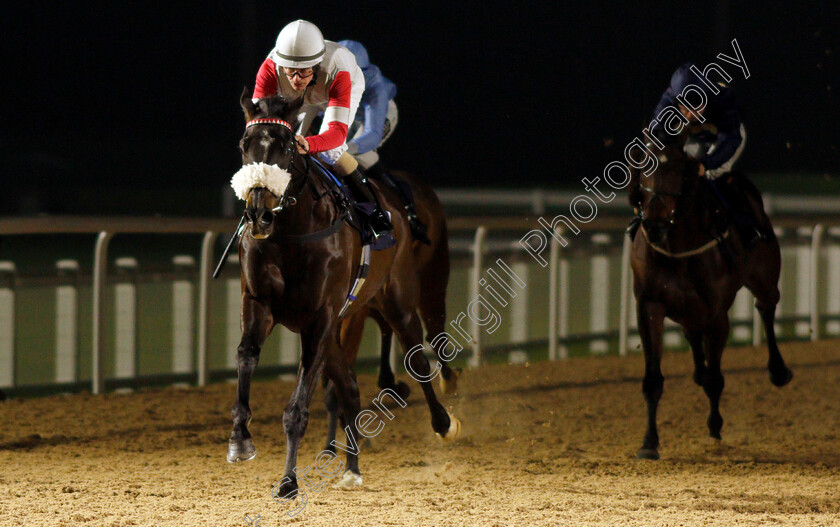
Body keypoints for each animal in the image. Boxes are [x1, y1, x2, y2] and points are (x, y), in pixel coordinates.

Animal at [228, 88, 460, 498]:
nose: (258, 214)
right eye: (245, 145)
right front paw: (241, 439)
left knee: (418, 357)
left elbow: (298, 407)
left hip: (399, 297)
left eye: (286, 148)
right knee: (349, 386)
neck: (293, 233)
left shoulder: (321, 317)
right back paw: (352, 467)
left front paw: (289, 481)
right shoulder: (259, 305)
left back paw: (443, 422)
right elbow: (246, 356)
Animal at [632, 138, 796, 460]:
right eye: (644, 167)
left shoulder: (717, 314)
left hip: (765, 279)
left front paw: (715, 426)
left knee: (766, 307)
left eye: (678, 169)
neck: (678, 245)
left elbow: (715, 379)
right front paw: (649, 442)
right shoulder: (649, 305)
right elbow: (653, 379)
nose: (655, 225)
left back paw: (778, 370)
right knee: (692, 335)